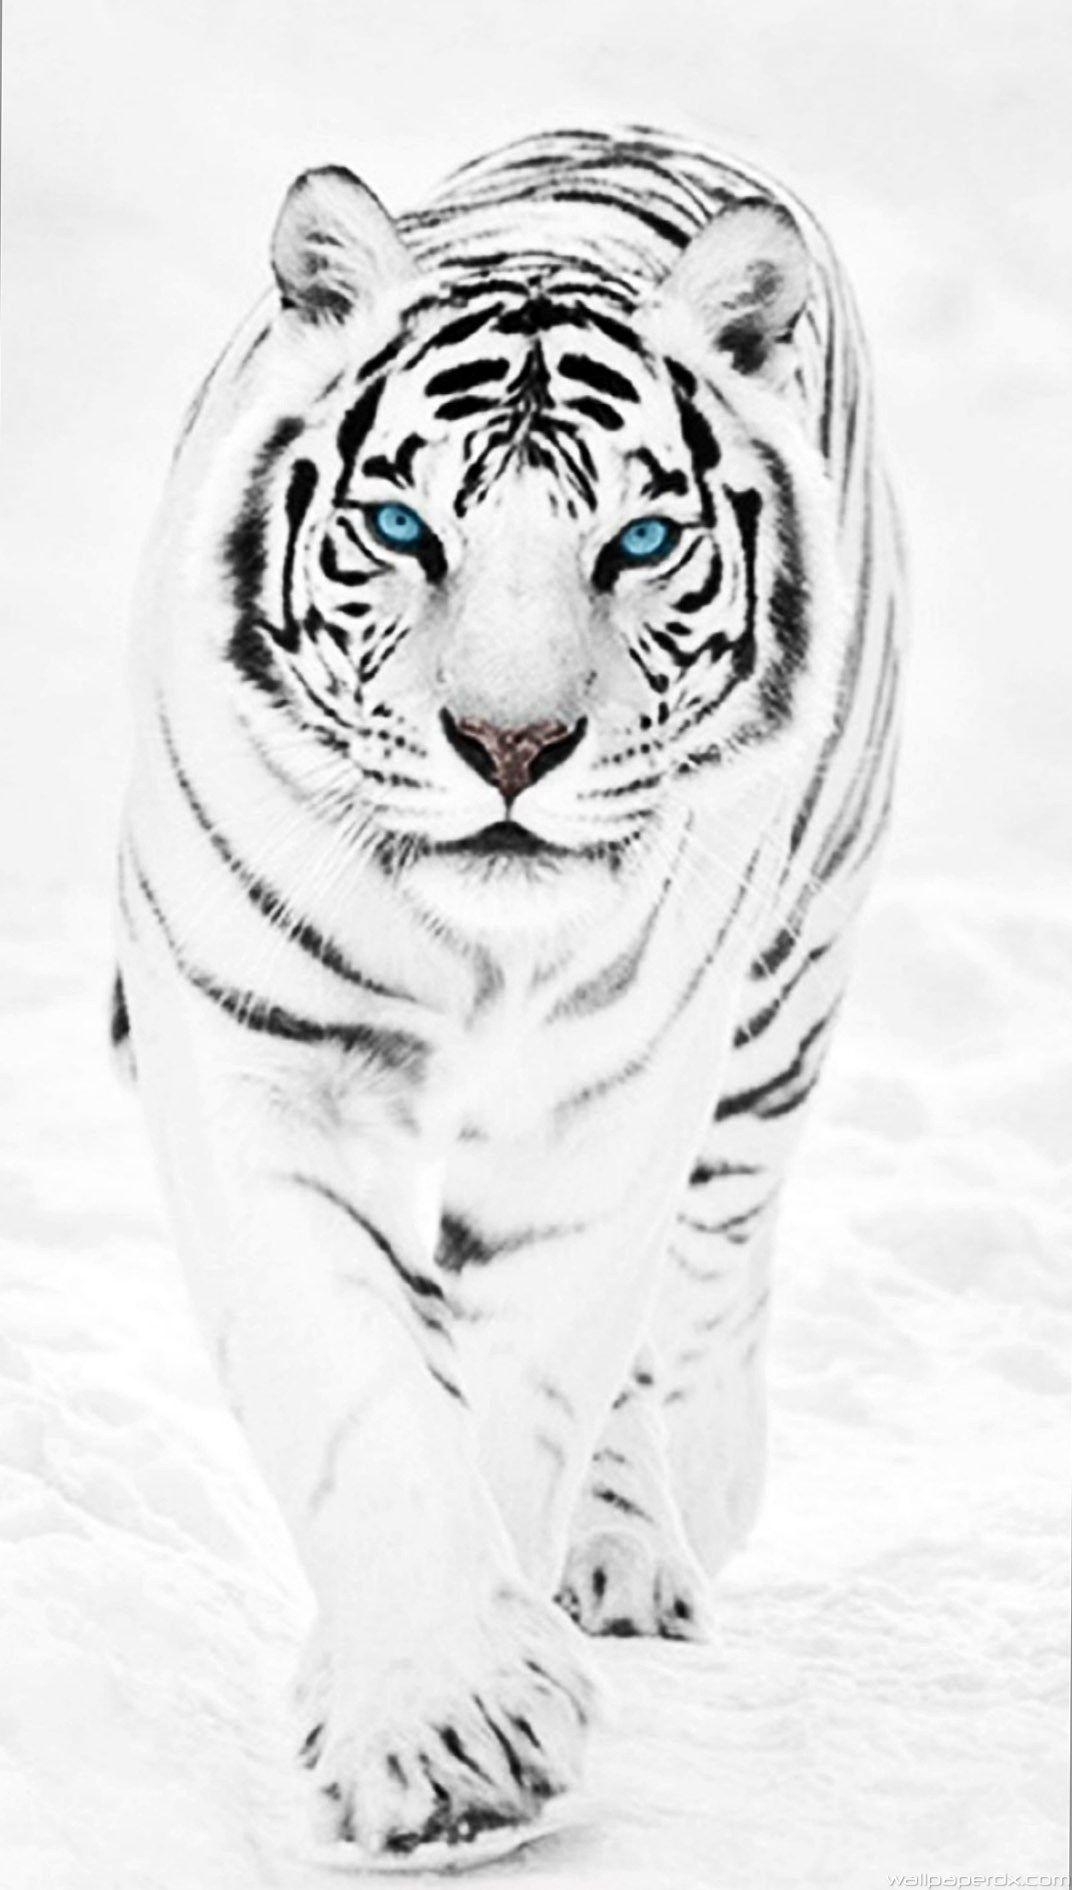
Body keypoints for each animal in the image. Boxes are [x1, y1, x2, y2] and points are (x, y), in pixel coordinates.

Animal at [115, 126, 904, 1865]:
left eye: (641, 544)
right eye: (404, 531)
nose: (512, 746)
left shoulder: (604, 1110)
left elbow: (531, 1377)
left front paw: (453, 1715)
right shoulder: (250, 1056)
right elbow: (358, 1383)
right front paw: (434, 1728)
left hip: (782, 987)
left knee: (708, 1270)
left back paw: (671, 1518)